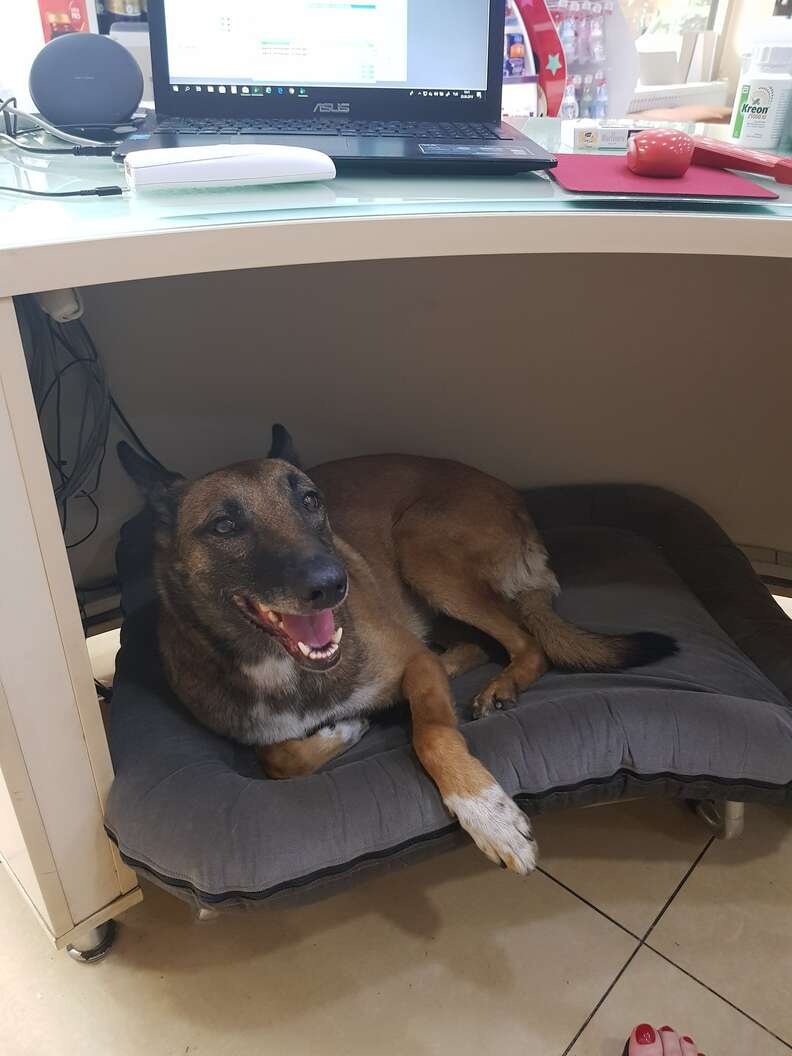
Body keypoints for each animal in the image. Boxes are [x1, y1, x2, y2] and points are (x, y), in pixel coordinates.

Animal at [120, 426, 680, 874]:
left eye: (310, 502)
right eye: (224, 525)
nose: (334, 583)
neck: (285, 668)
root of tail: (517, 503)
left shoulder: (412, 664)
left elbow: (430, 734)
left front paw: (486, 812)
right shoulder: (268, 735)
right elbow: (278, 759)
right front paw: (345, 728)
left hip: (419, 545)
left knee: (527, 640)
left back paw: (499, 684)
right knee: (481, 644)